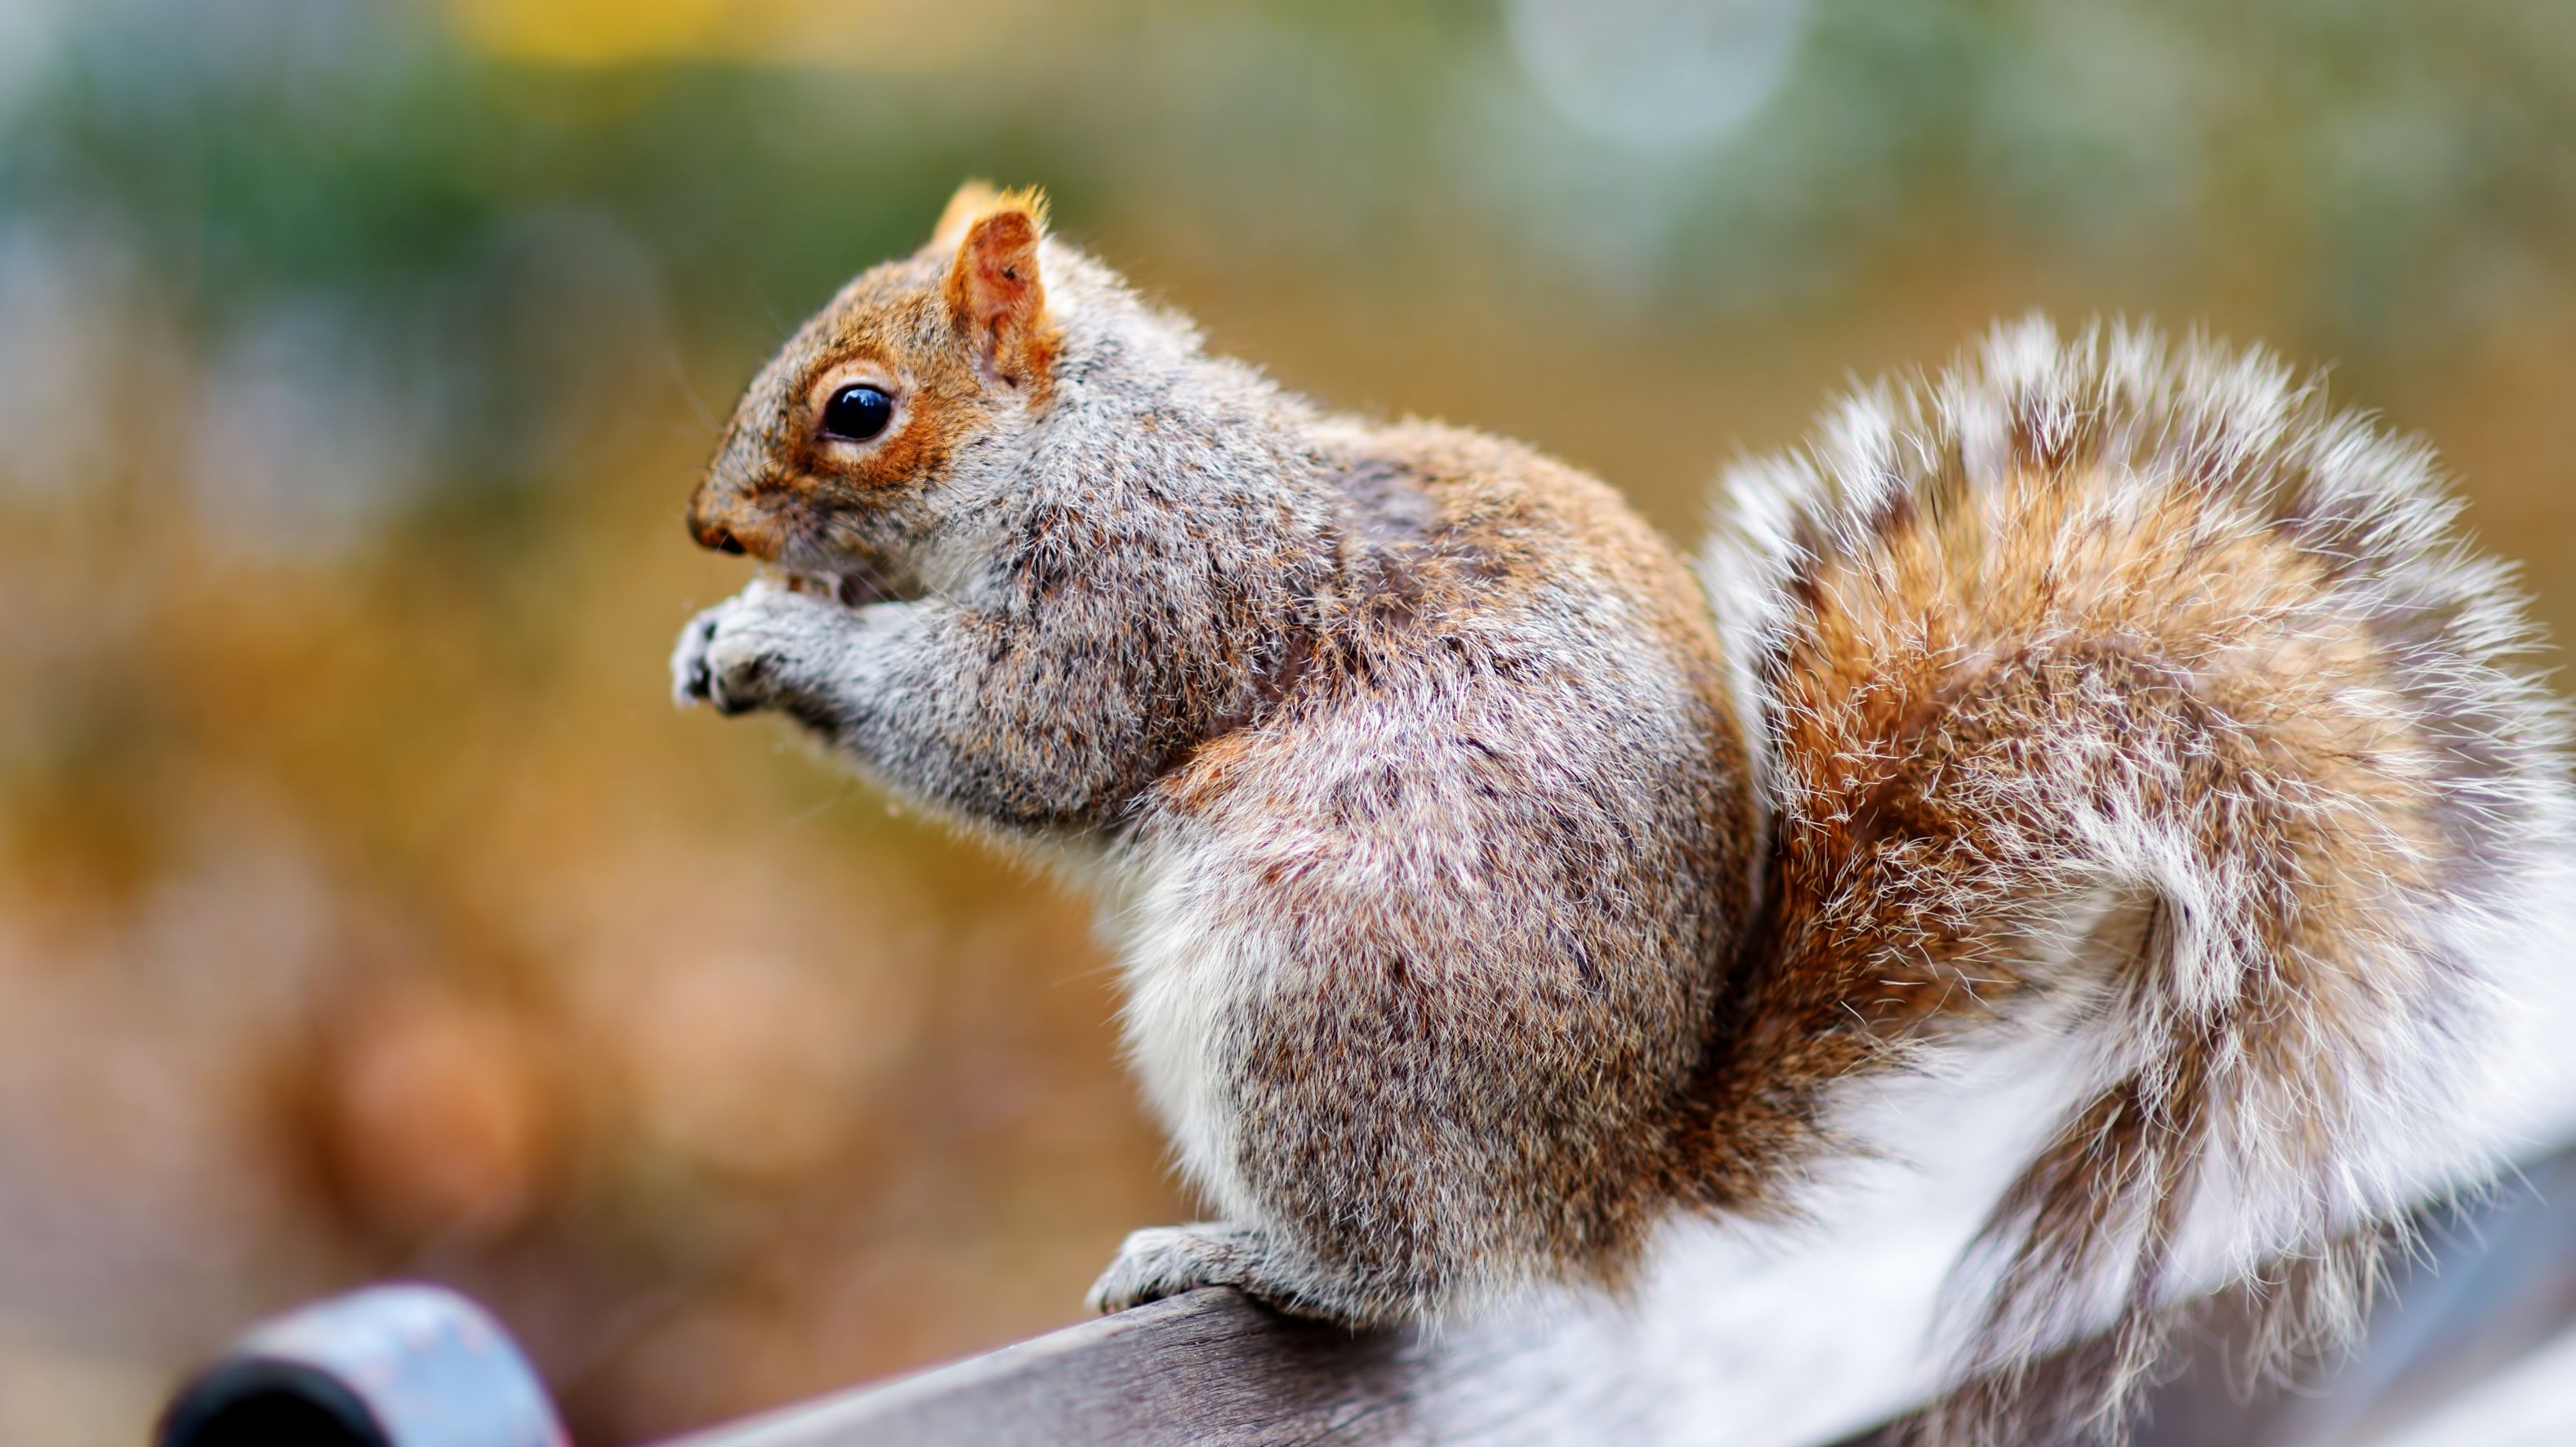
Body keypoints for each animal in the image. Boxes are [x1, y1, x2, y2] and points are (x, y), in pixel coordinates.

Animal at [671, 182, 2571, 1443]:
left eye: (857, 410)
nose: (710, 530)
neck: (1080, 441)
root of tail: (1599, 1186)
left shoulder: (1144, 593)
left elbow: (1012, 732)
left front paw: (777, 641)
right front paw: (723, 634)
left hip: (1309, 984)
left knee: (1400, 1269)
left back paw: (1235, 1253)